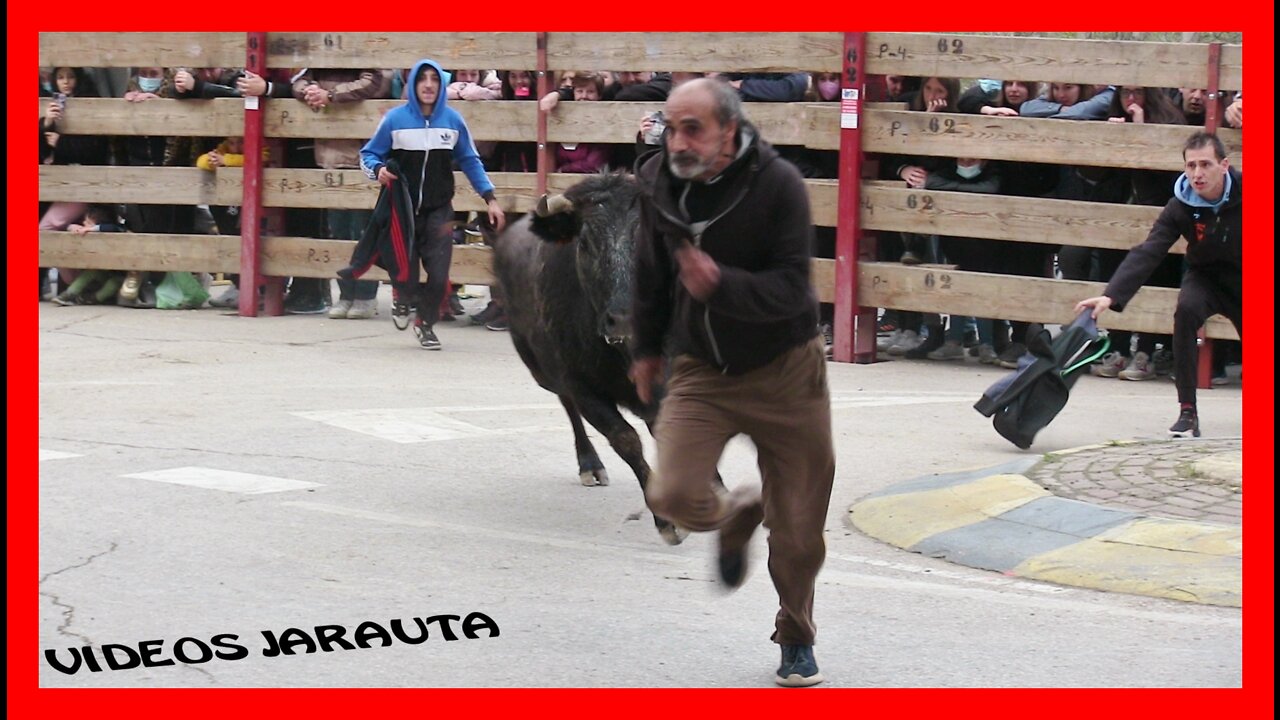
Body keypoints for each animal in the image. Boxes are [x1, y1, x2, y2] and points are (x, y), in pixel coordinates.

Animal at [488, 172, 691, 543]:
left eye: (650, 241)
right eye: (585, 243)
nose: (624, 318)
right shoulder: (584, 388)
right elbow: (626, 439)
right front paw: (668, 520)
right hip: (544, 371)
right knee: (567, 405)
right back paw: (590, 464)